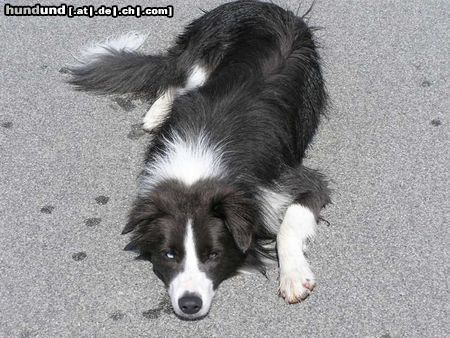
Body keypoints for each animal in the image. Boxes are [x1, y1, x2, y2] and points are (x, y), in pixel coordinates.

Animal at [66, 0, 330, 320]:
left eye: (213, 254)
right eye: (169, 254)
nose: (189, 304)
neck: (195, 168)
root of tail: (261, 4)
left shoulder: (294, 181)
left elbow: (289, 223)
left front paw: (293, 278)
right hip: (199, 59)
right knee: (175, 80)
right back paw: (155, 114)